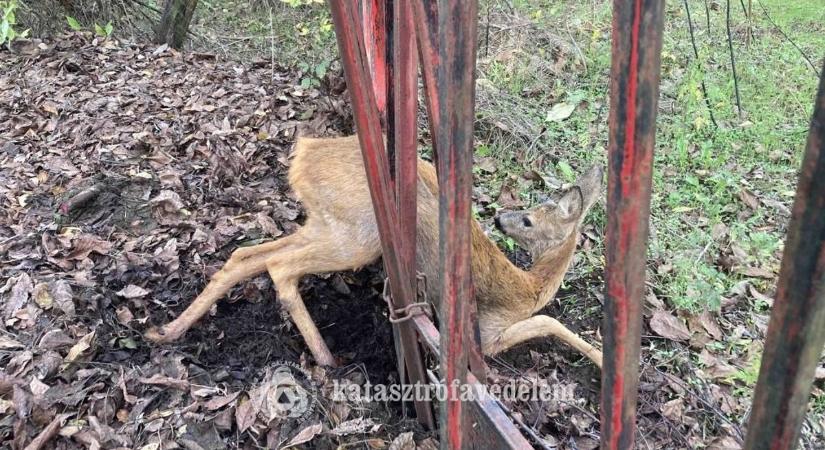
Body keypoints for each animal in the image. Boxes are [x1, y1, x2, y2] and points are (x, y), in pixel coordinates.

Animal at [145, 135, 600, 368]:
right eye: (528, 217)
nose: (501, 218)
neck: (530, 287)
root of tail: (303, 151)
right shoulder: (485, 334)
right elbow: (548, 323)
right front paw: (598, 358)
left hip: (326, 222)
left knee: (245, 256)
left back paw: (166, 332)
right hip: (359, 236)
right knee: (279, 265)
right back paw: (328, 360)